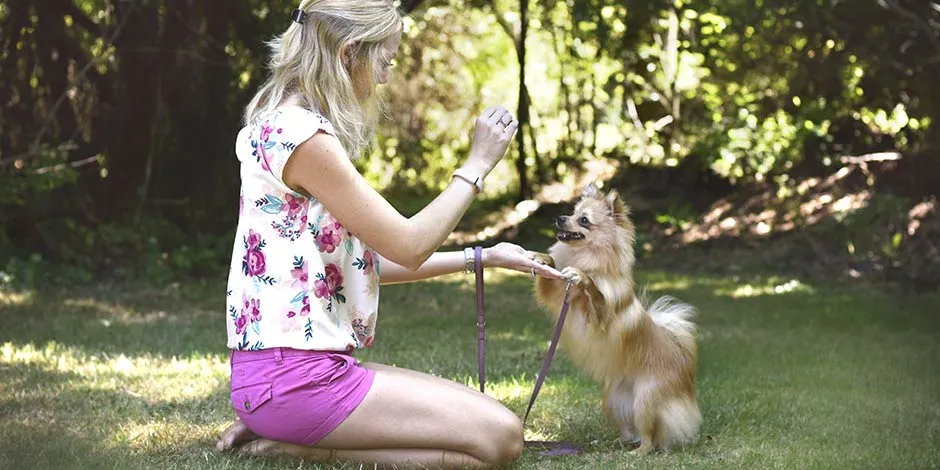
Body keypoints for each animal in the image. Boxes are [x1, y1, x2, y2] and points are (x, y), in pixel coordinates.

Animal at [532, 185, 700, 456]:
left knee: (650, 438)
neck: (586, 257)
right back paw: (616, 442)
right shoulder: (556, 295)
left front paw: (582, 276)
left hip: (645, 402)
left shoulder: (600, 319)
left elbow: (596, 293)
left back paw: (638, 452)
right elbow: (550, 276)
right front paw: (543, 258)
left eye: (584, 220)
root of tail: (683, 359)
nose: (560, 218)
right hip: (614, 401)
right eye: (572, 212)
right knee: (630, 430)